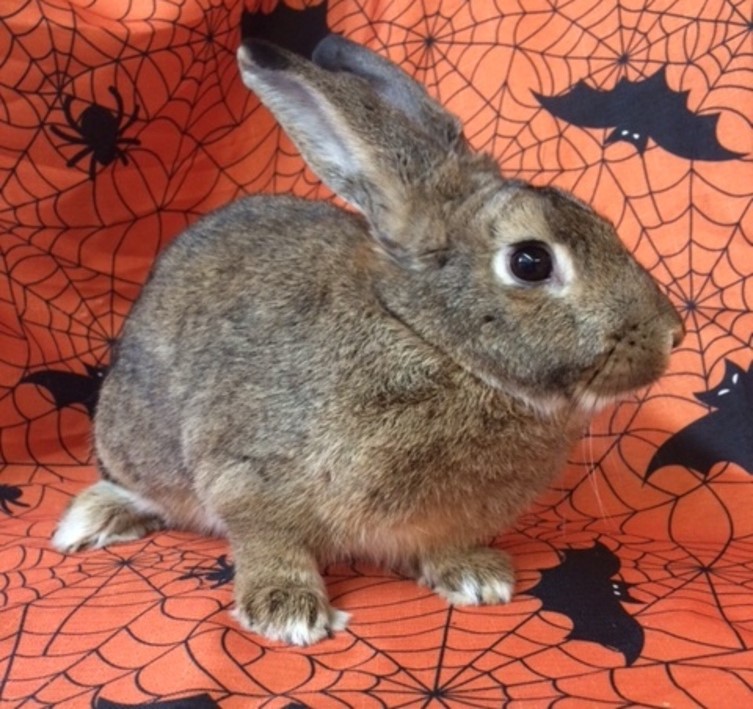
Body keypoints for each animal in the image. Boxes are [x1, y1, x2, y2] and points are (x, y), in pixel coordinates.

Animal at [52, 35, 684, 646]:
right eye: (530, 262)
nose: (671, 334)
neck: (429, 338)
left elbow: (446, 549)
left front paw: (478, 580)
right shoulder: (244, 475)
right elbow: (267, 543)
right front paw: (287, 613)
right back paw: (92, 522)